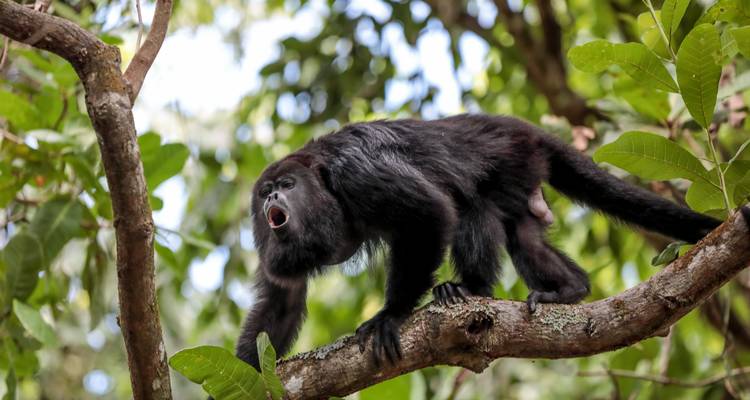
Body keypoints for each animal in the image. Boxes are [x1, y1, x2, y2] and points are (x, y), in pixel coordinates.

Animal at [235, 114, 721, 369]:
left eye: (287, 185)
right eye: (265, 192)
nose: (272, 198)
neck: (321, 181)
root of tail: (524, 128)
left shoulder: (357, 173)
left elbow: (430, 212)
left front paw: (391, 316)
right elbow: (282, 299)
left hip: (512, 158)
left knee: (471, 206)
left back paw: (469, 289)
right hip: (525, 183)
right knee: (523, 235)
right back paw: (571, 288)